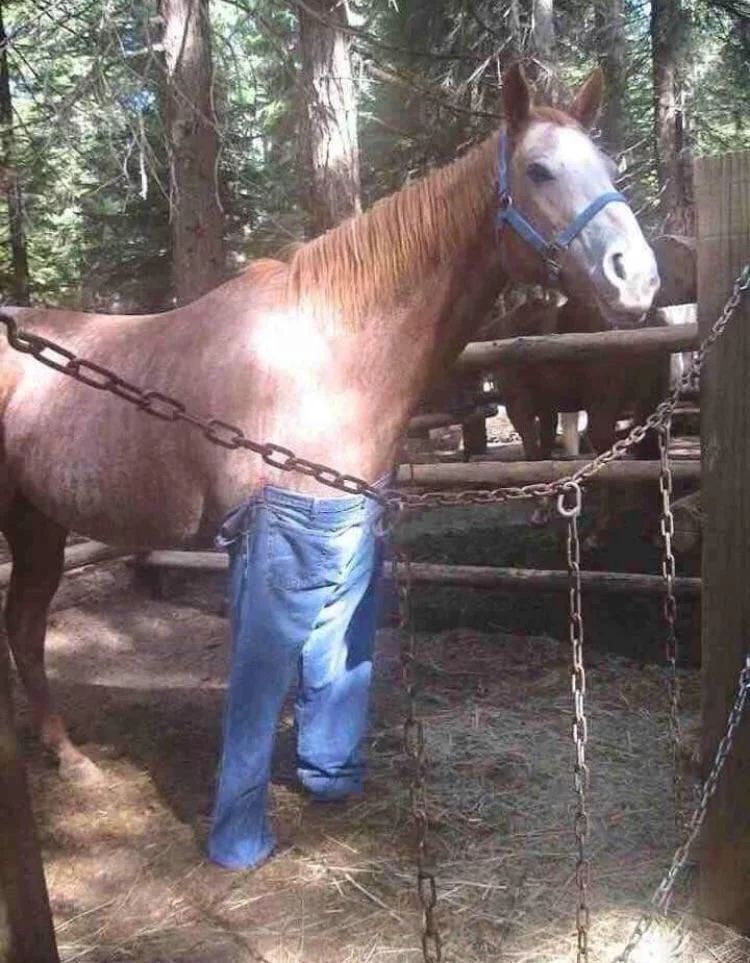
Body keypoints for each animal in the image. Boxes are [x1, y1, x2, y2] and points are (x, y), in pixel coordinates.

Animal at [0, 64, 659, 784]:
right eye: (539, 170)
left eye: (610, 167)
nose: (637, 279)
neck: (323, 355)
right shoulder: (260, 541)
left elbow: (326, 663)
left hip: (38, 525)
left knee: (24, 628)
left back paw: (67, 755)